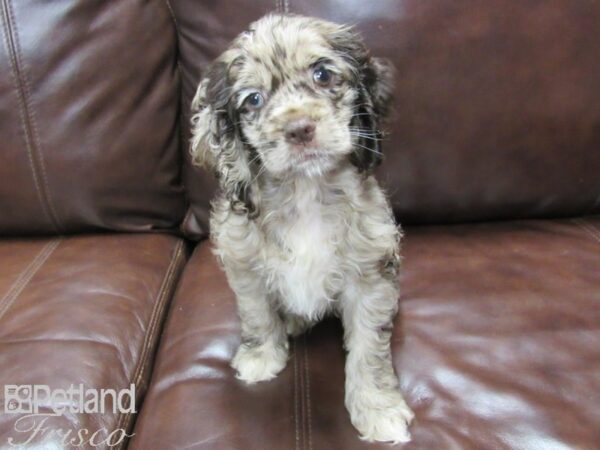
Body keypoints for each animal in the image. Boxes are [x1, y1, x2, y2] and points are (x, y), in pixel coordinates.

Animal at [191, 13, 412, 442]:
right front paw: (261, 357)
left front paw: (377, 407)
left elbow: (369, 348)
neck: (305, 191)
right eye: (253, 100)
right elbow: (257, 313)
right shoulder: (243, 263)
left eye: (322, 74)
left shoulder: (371, 274)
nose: (298, 129)